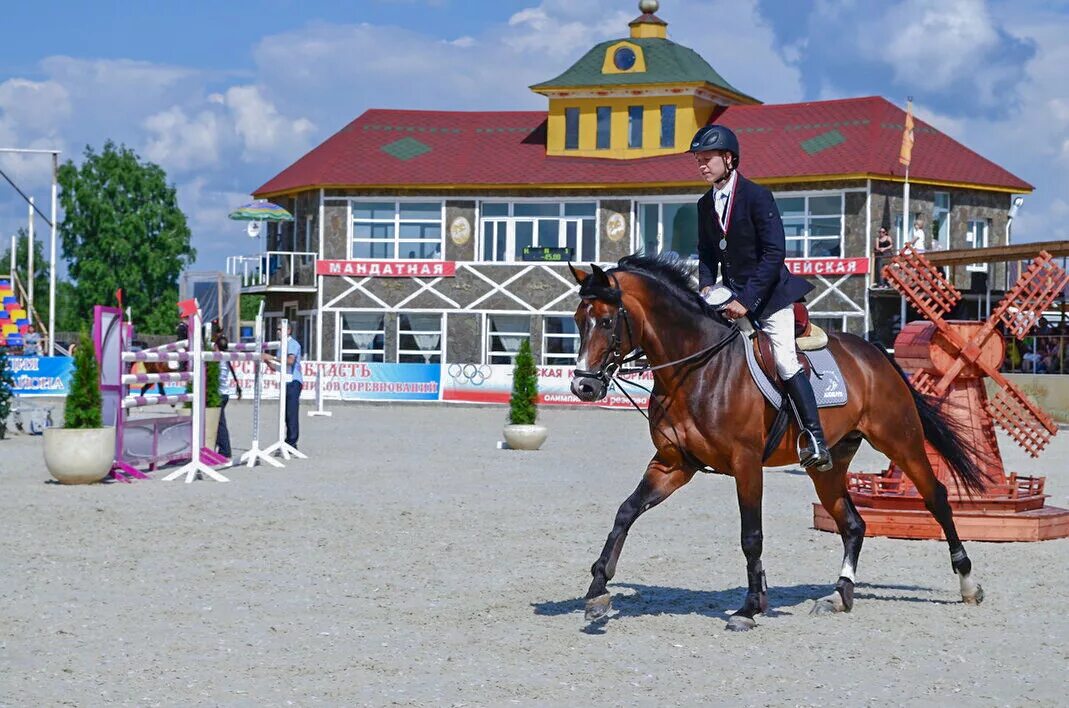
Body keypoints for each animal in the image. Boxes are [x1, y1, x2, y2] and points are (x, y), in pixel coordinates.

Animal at [568, 255, 983, 633]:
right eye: (577, 320)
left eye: (607, 321)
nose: (583, 386)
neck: (696, 370)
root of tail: (874, 353)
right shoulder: (673, 464)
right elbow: (626, 512)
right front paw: (597, 591)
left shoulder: (746, 463)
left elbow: (751, 536)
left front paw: (749, 608)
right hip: (828, 466)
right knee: (853, 524)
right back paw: (839, 594)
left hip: (900, 440)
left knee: (936, 497)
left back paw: (967, 583)